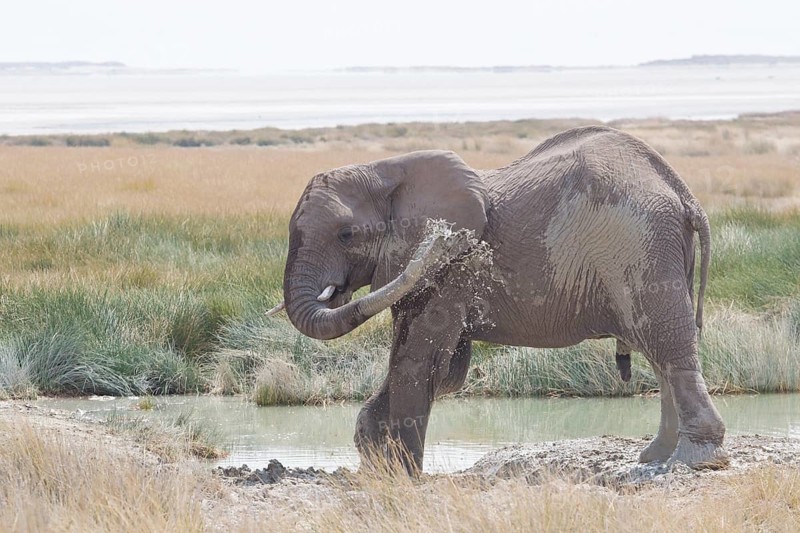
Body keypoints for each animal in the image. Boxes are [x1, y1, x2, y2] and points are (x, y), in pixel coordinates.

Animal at [271, 125, 728, 474]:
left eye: (345, 235)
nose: (440, 239)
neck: (384, 169)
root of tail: (681, 191)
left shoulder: (450, 268)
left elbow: (418, 360)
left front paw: (403, 478)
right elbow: (435, 369)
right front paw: (377, 464)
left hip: (636, 244)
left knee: (668, 343)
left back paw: (693, 460)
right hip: (650, 249)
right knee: (660, 349)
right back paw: (656, 457)